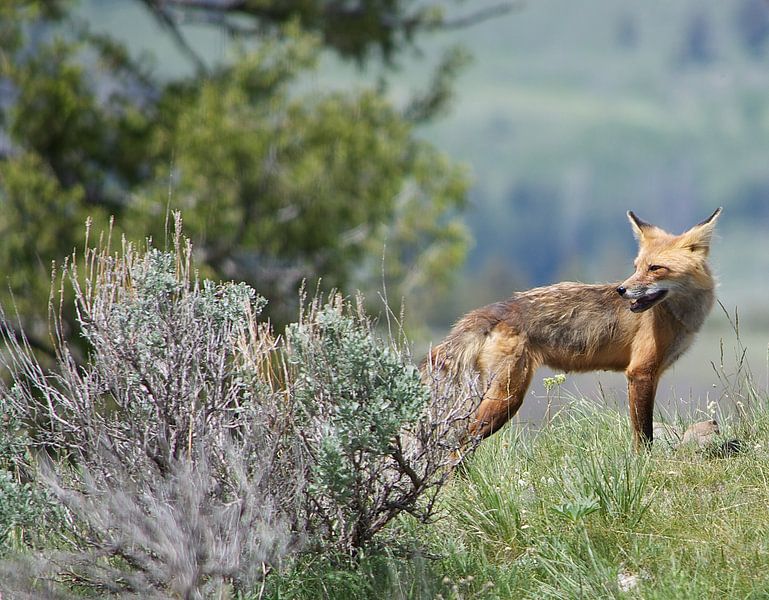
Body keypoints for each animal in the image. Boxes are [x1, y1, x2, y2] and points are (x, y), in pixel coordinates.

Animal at [428, 209, 724, 448]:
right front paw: (644, 464)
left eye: (655, 268)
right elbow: (643, 434)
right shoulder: (641, 372)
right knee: (460, 440)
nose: (621, 290)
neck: (677, 316)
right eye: (636, 267)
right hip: (507, 398)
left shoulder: (651, 374)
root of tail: (497, 308)